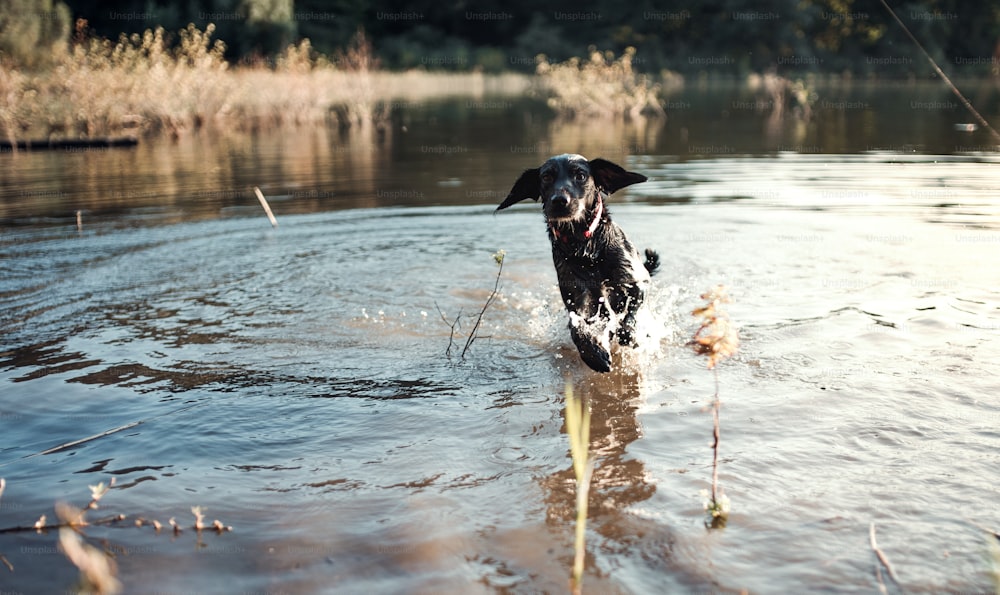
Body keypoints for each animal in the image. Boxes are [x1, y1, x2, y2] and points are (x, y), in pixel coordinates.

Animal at [498, 154, 656, 372]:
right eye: (546, 177)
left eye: (580, 175)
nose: (559, 200)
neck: (585, 246)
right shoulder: (577, 296)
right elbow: (576, 327)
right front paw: (593, 354)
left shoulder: (637, 281)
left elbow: (630, 313)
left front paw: (628, 333)